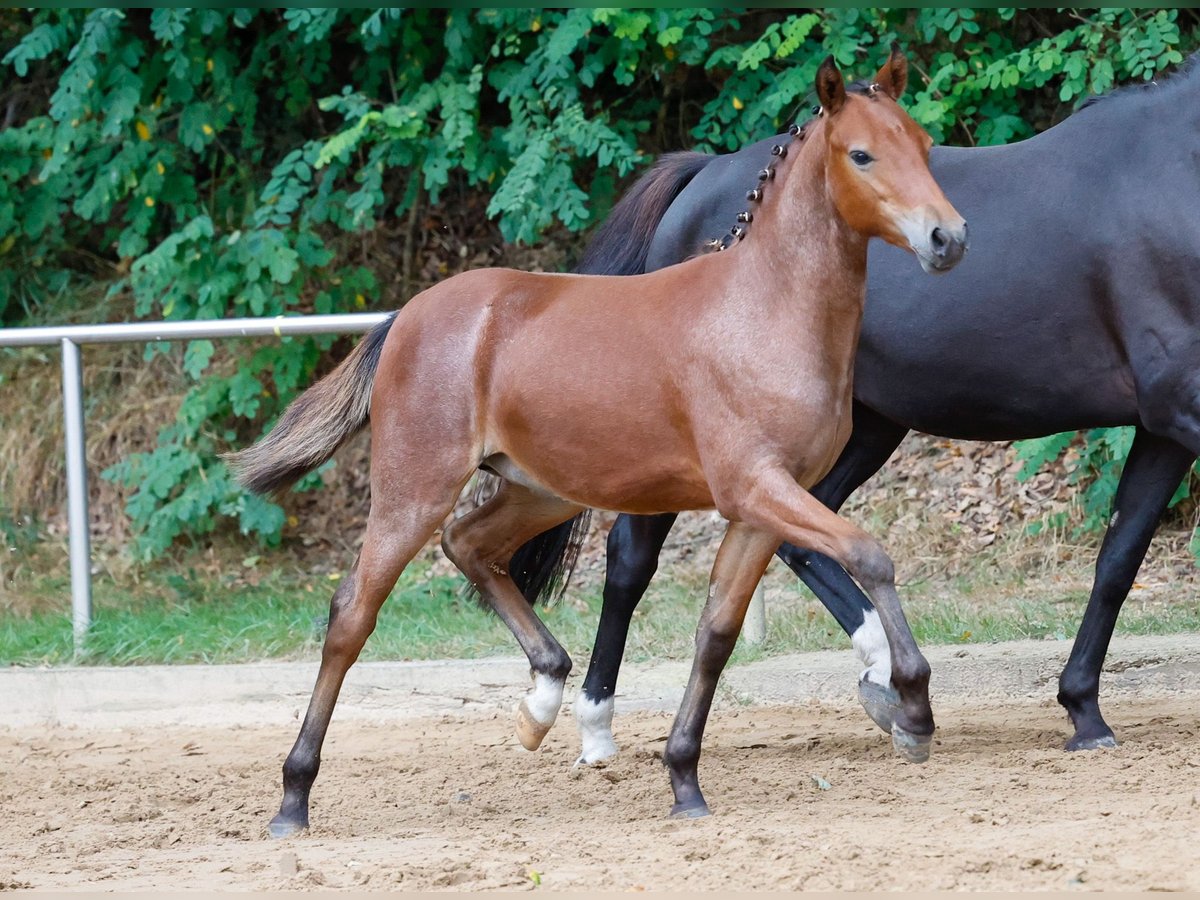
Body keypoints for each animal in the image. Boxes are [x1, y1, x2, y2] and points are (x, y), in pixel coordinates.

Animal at [229, 51, 969, 840]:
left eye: (925, 146)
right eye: (861, 154)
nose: (947, 239)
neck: (764, 311)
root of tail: (409, 315)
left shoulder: (760, 509)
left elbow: (717, 632)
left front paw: (684, 779)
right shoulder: (758, 487)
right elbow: (870, 555)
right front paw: (913, 709)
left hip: (539, 490)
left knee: (470, 545)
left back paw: (542, 699)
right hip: (413, 491)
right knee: (352, 614)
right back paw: (293, 798)